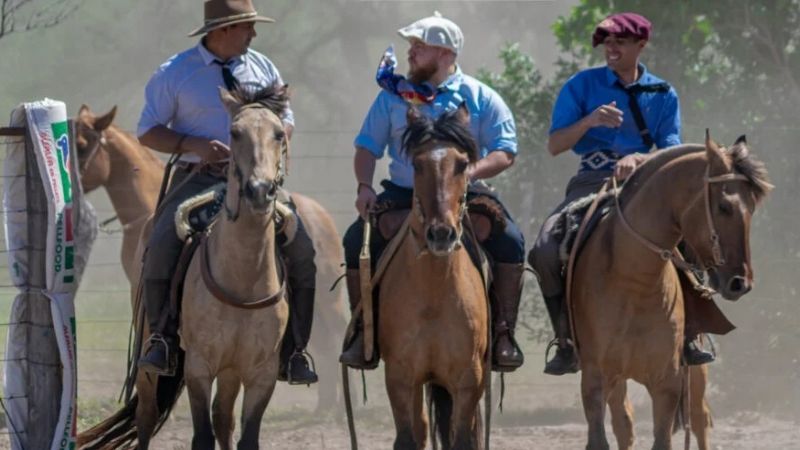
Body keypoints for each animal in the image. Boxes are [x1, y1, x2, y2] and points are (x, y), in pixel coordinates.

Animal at [377, 105, 488, 449]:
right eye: (417, 164)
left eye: (462, 164)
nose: (441, 234)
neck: (434, 294)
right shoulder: (400, 377)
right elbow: (408, 438)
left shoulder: (469, 378)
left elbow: (462, 439)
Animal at [572, 134, 772, 450]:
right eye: (724, 207)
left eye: (752, 207)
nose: (740, 283)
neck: (633, 280)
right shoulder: (595, 378)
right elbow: (600, 437)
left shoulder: (667, 381)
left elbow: (663, 438)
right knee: (624, 422)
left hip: (695, 374)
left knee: (700, 419)